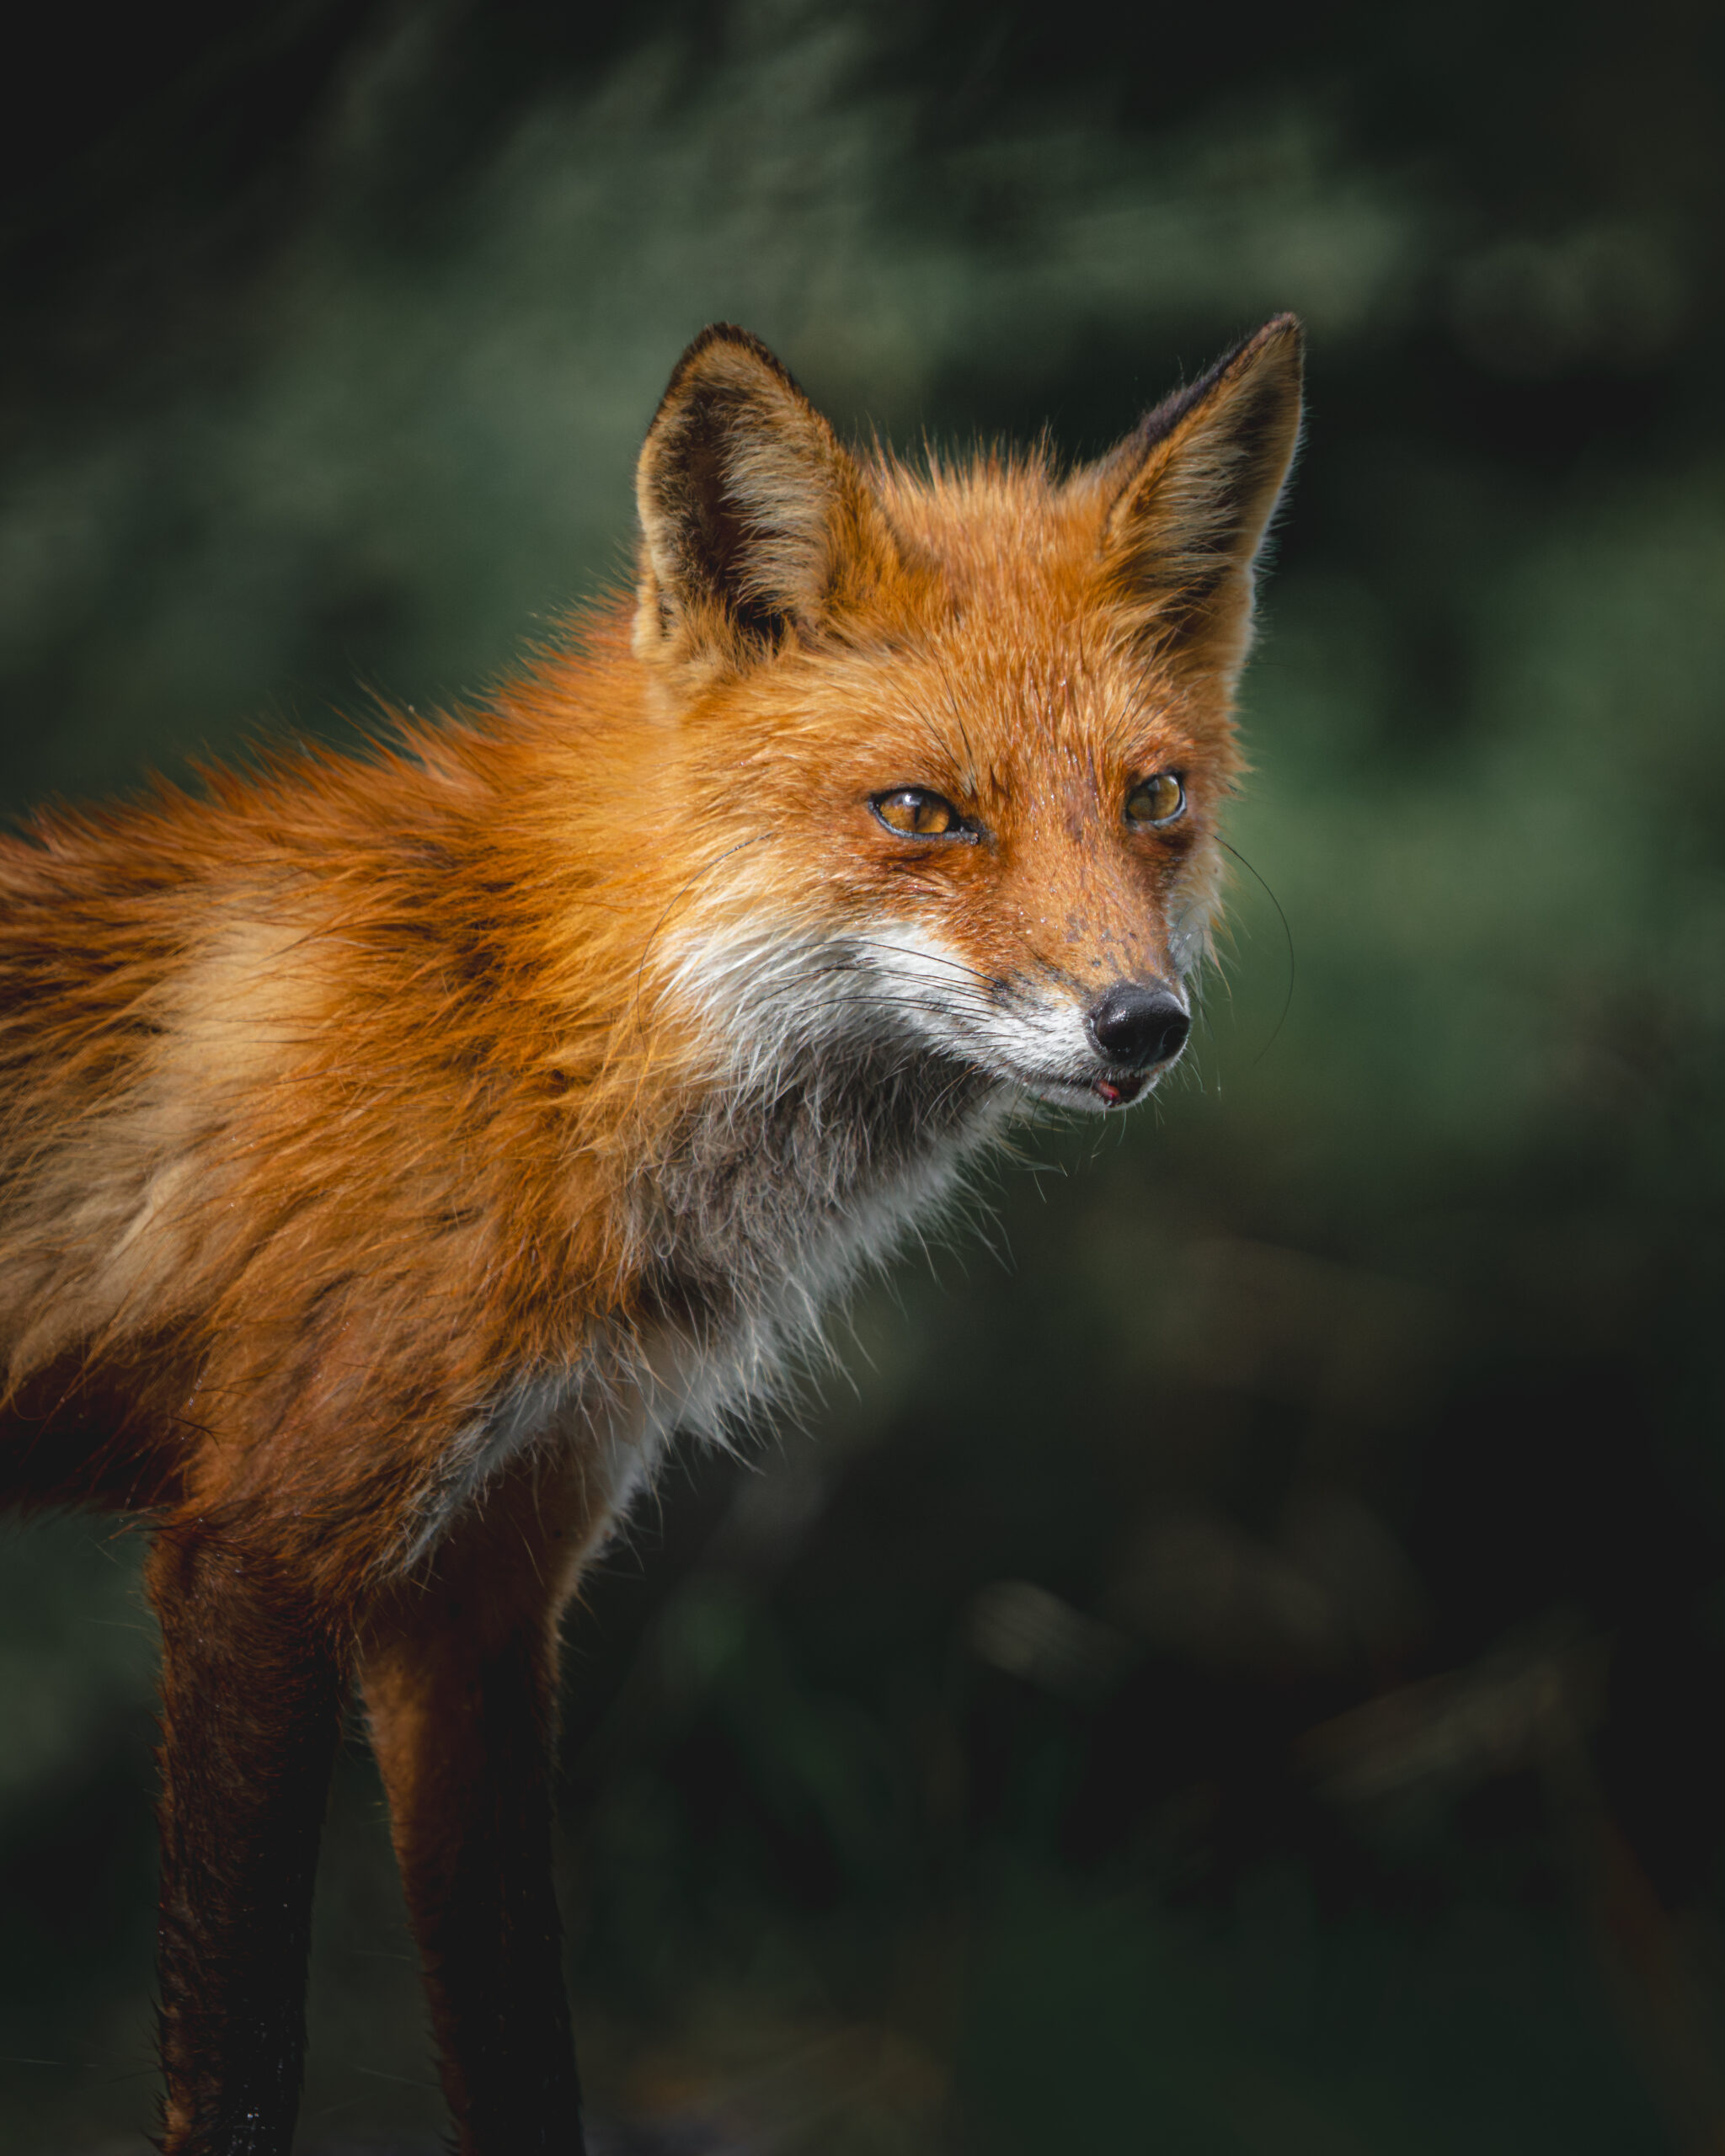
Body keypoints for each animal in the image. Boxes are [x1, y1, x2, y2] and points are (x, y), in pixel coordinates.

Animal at [0, 315, 1302, 2153]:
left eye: (1154, 797)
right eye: (922, 812)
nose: (1142, 1024)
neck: (534, 1034)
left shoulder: (484, 1581)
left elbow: (517, 2047)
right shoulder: (255, 1549)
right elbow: (243, 2065)